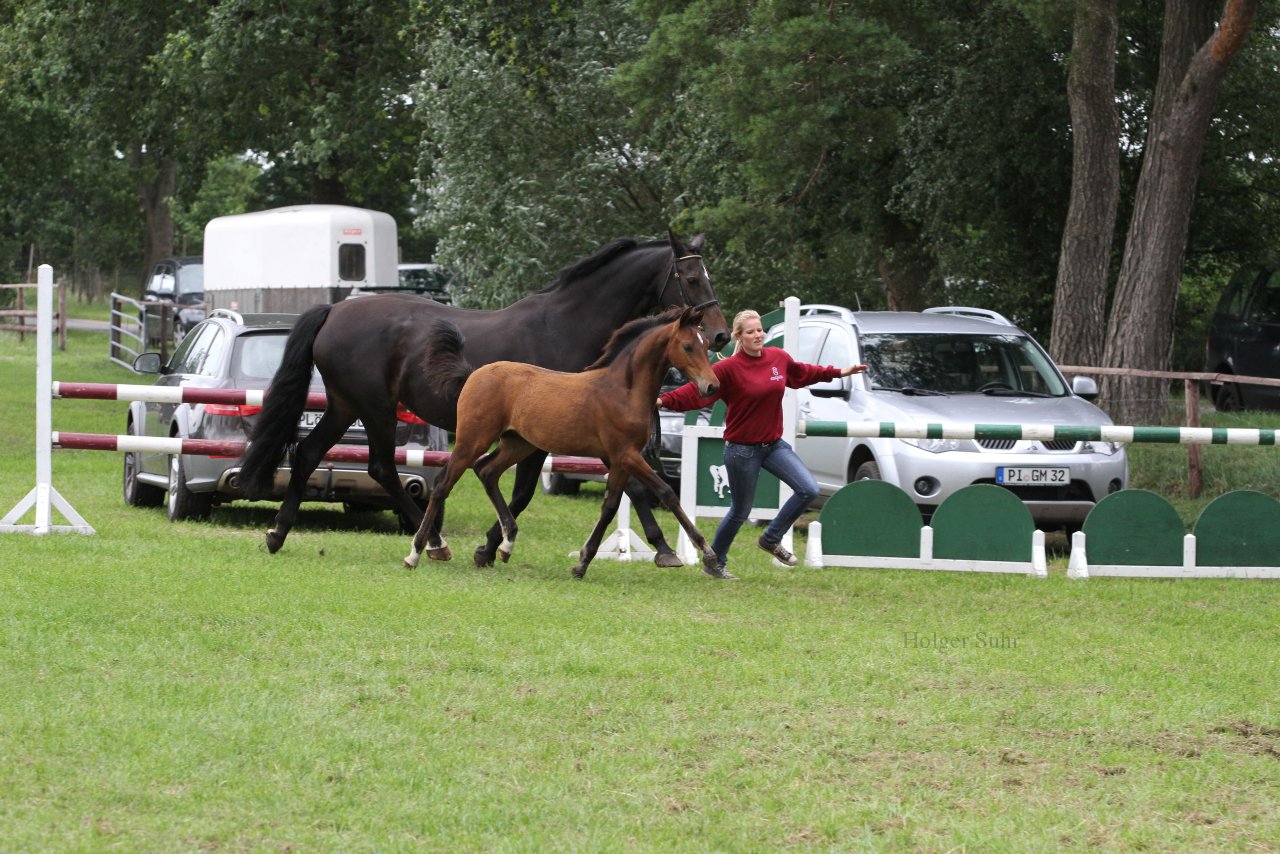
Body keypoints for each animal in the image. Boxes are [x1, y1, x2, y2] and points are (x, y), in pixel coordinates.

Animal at [404, 303, 721, 578]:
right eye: (687, 346)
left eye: (705, 344)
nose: (711, 386)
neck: (623, 390)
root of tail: (473, 375)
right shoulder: (626, 454)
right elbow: (666, 492)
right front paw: (709, 557)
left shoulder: (619, 458)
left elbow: (610, 505)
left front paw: (582, 563)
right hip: (473, 440)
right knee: (443, 484)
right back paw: (418, 552)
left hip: (518, 443)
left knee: (487, 471)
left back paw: (505, 545)